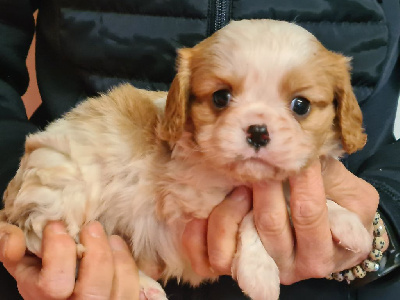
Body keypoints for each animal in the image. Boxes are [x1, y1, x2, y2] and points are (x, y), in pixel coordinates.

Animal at [0, 19, 372, 298]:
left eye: (301, 105)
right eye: (220, 98)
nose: (258, 132)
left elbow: (291, 193)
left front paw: (348, 223)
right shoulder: (190, 199)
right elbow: (251, 211)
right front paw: (260, 274)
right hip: (62, 186)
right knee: (47, 238)